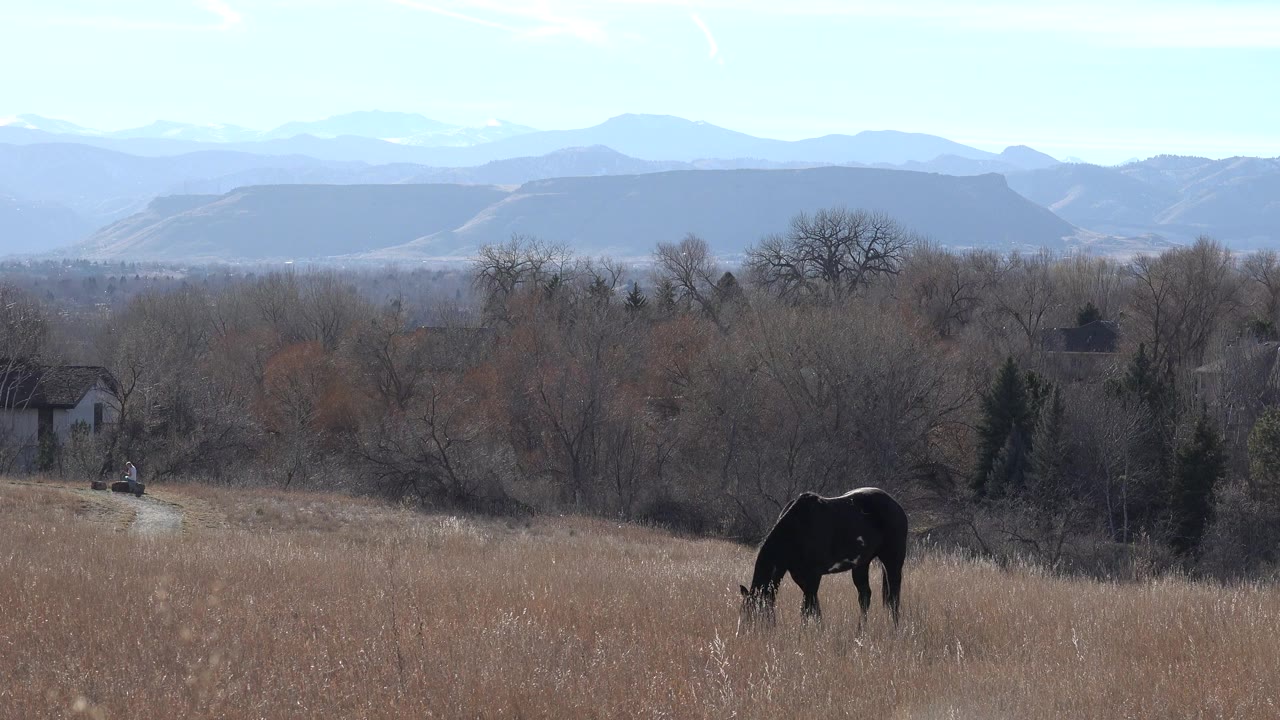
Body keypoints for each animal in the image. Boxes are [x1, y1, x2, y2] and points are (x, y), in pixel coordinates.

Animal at [738, 488, 907, 631]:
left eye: (756, 613)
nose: (748, 633)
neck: (796, 529)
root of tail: (896, 506)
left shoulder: (814, 575)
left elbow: (806, 608)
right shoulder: (800, 577)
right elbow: (814, 607)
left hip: (892, 561)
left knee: (893, 598)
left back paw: (894, 629)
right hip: (861, 564)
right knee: (865, 597)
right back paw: (861, 632)